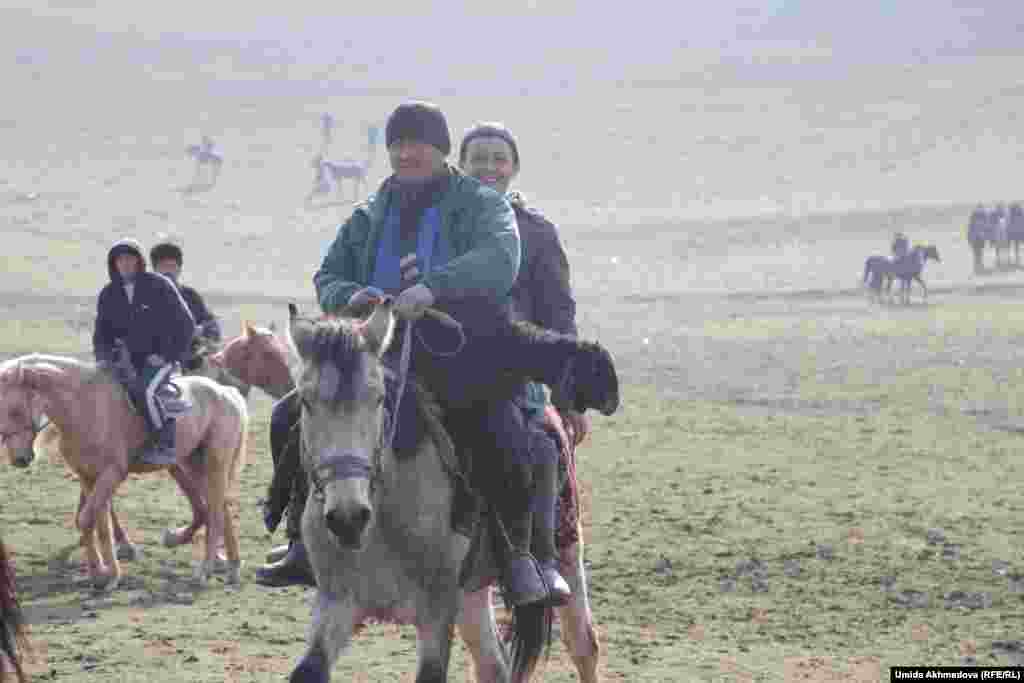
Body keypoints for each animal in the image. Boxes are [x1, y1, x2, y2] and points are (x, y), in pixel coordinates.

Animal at [0, 356, 247, 589]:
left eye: (14, 410)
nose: (19, 459)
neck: (84, 405)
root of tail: (227, 392)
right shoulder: (89, 477)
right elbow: (98, 525)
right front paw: (105, 574)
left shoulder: (112, 474)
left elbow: (88, 519)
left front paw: (105, 574)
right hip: (195, 465)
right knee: (220, 507)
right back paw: (232, 567)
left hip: (214, 464)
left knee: (215, 513)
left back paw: (205, 570)